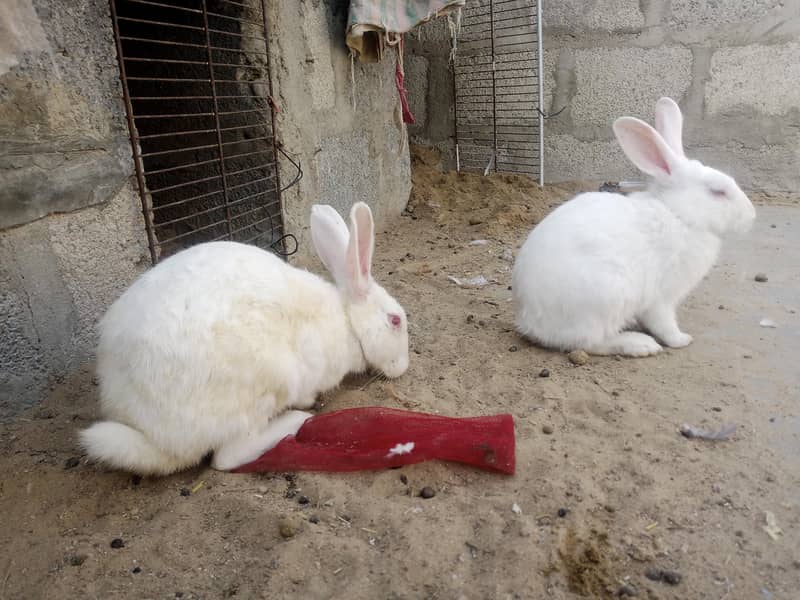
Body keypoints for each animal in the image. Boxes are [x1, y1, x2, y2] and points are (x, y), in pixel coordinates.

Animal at [80, 201, 409, 475]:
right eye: (395, 320)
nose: (403, 367)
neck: (347, 322)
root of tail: (157, 438)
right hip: (270, 382)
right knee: (228, 456)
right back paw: (295, 419)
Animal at [512, 97, 756, 357]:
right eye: (718, 192)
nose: (752, 215)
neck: (678, 213)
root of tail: (530, 324)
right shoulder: (662, 296)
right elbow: (664, 323)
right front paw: (682, 340)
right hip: (608, 297)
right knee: (589, 342)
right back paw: (639, 344)